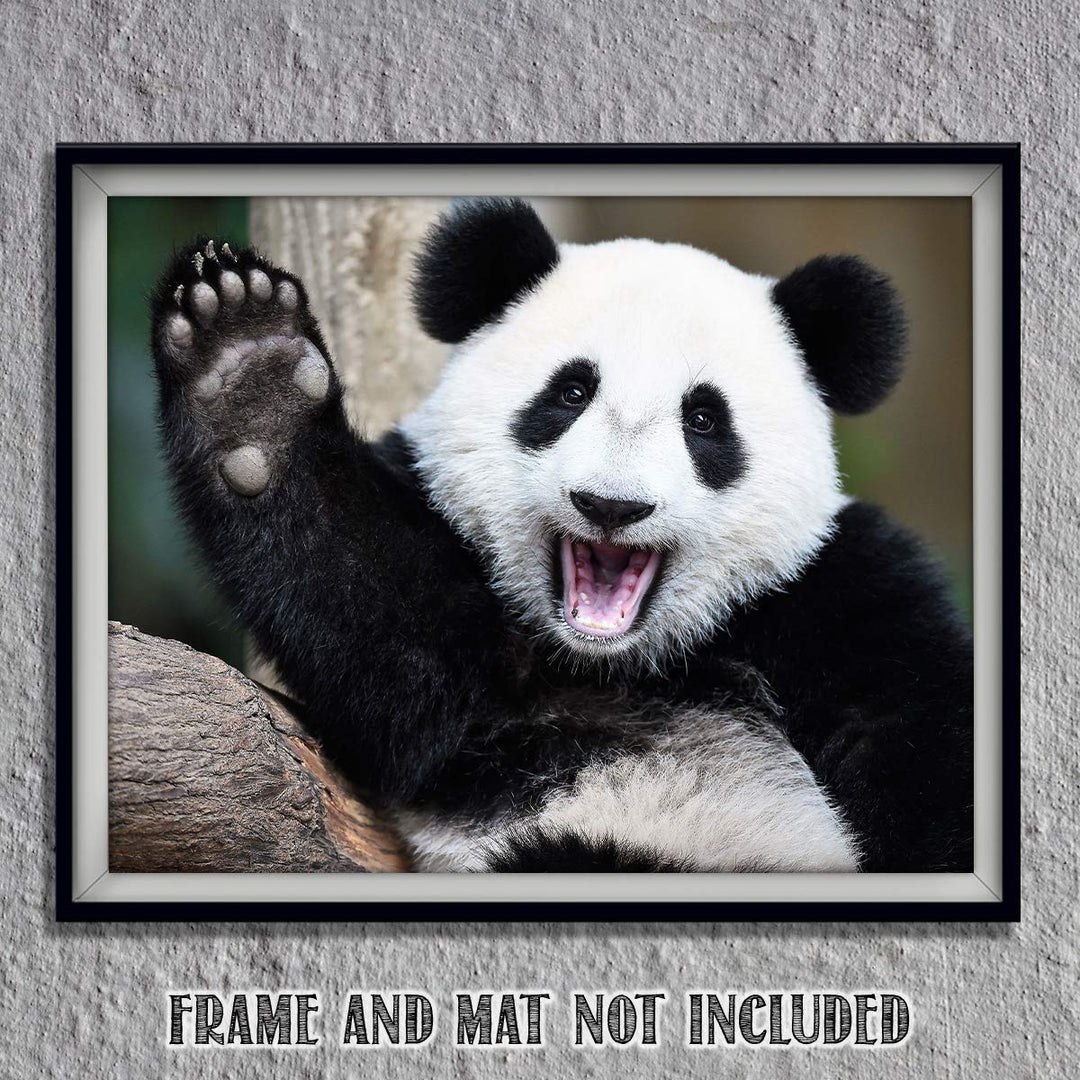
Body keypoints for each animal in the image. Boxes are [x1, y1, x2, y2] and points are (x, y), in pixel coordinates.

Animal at [150, 199, 973, 873]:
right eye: (571, 392)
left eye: (704, 419)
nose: (611, 505)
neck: (621, 665)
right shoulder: (471, 685)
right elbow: (390, 645)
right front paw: (250, 375)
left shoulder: (838, 590)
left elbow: (924, 748)